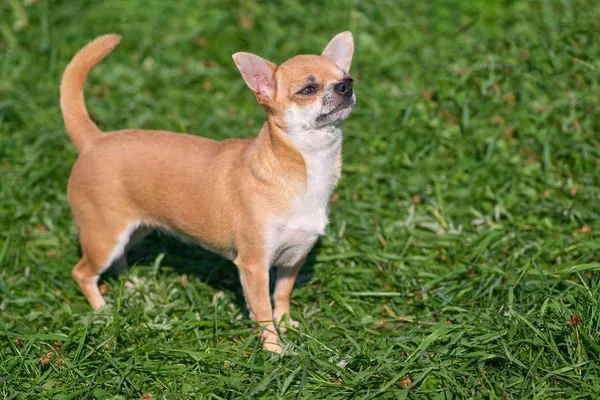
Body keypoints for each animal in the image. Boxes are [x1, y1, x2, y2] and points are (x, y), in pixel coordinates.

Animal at [60, 31, 354, 352]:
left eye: (345, 76)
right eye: (308, 89)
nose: (347, 85)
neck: (303, 166)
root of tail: (94, 140)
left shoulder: (294, 258)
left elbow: (281, 295)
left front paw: (286, 323)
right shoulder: (253, 266)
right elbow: (262, 310)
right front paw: (274, 349)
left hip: (134, 228)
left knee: (119, 258)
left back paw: (133, 286)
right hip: (103, 238)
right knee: (81, 273)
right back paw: (102, 309)